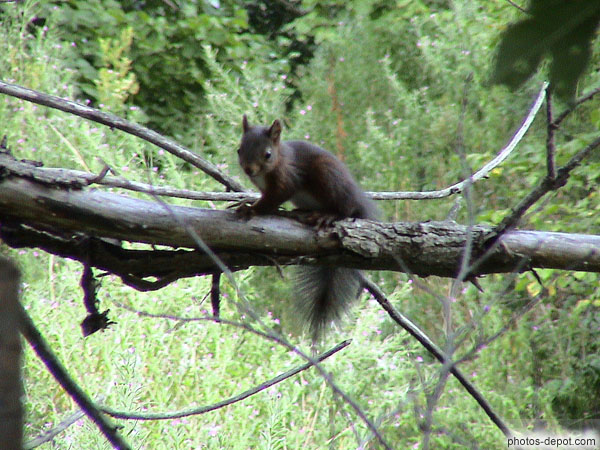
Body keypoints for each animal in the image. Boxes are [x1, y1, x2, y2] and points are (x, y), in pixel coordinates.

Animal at [237, 114, 377, 339]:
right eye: (239, 149)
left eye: (267, 154)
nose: (249, 169)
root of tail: (357, 199)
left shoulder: (287, 179)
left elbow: (271, 200)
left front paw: (251, 210)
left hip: (328, 178)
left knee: (346, 210)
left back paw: (328, 215)